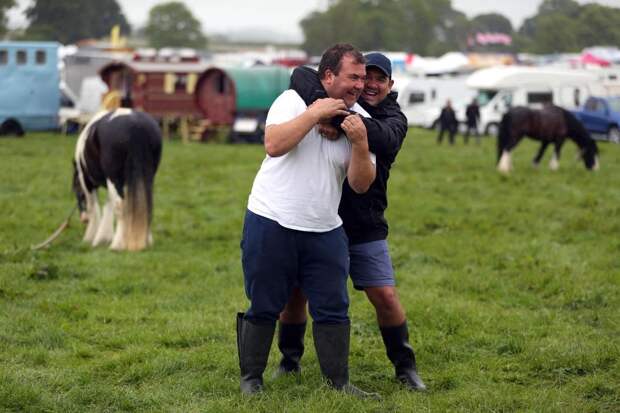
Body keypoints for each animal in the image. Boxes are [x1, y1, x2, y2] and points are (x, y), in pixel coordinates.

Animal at [72, 109, 162, 249]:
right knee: (145, 205)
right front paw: (103, 237)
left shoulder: (88, 182)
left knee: (120, 206)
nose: (83, 218)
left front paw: (91, 237)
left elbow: (94, 207)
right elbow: (108, 205)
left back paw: (117, 245)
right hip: (145, 177)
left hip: (114, 179)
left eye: (76, 190)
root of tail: (136, 126)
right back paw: (145, 241)